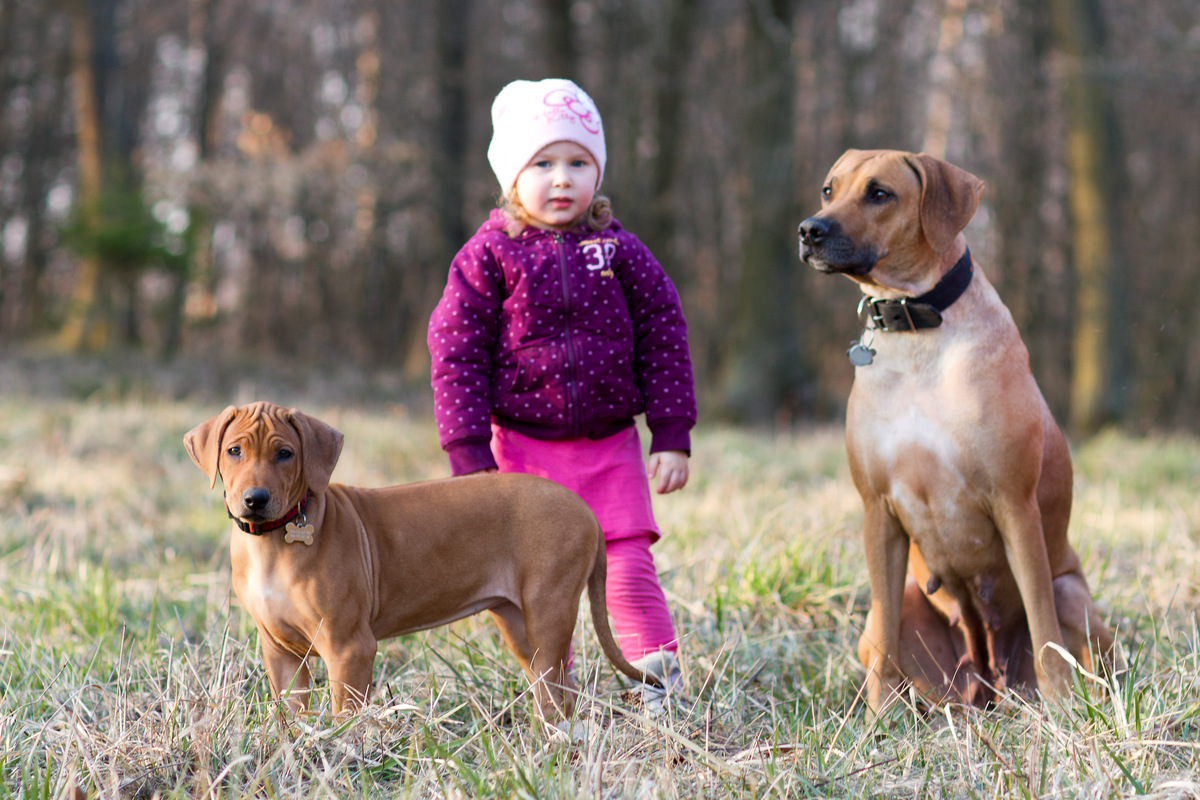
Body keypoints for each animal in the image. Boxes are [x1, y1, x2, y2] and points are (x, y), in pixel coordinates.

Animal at [182, 402, 662, 724]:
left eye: (285, 454)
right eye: (234, 451)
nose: (255, 499)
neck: (274, 541)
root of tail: (583, 508)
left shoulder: (349, 647)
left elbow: (346, 716)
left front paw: (342, 753)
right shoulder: (280, 653)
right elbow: (291, 716)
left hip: (548, 609)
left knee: (558, 687)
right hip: (519, 623)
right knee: (557, 687)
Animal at [796, 151, 1113, 719]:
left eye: (880, 193)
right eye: (829, 190)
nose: (810, 229)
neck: (917, 332)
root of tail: (987, 677)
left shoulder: (1015, 502)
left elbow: (1043, 626)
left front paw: (1060, 708)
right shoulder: (877, 509)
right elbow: (885, 640)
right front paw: (877, 718)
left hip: (1072, 593)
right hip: (906, 617)